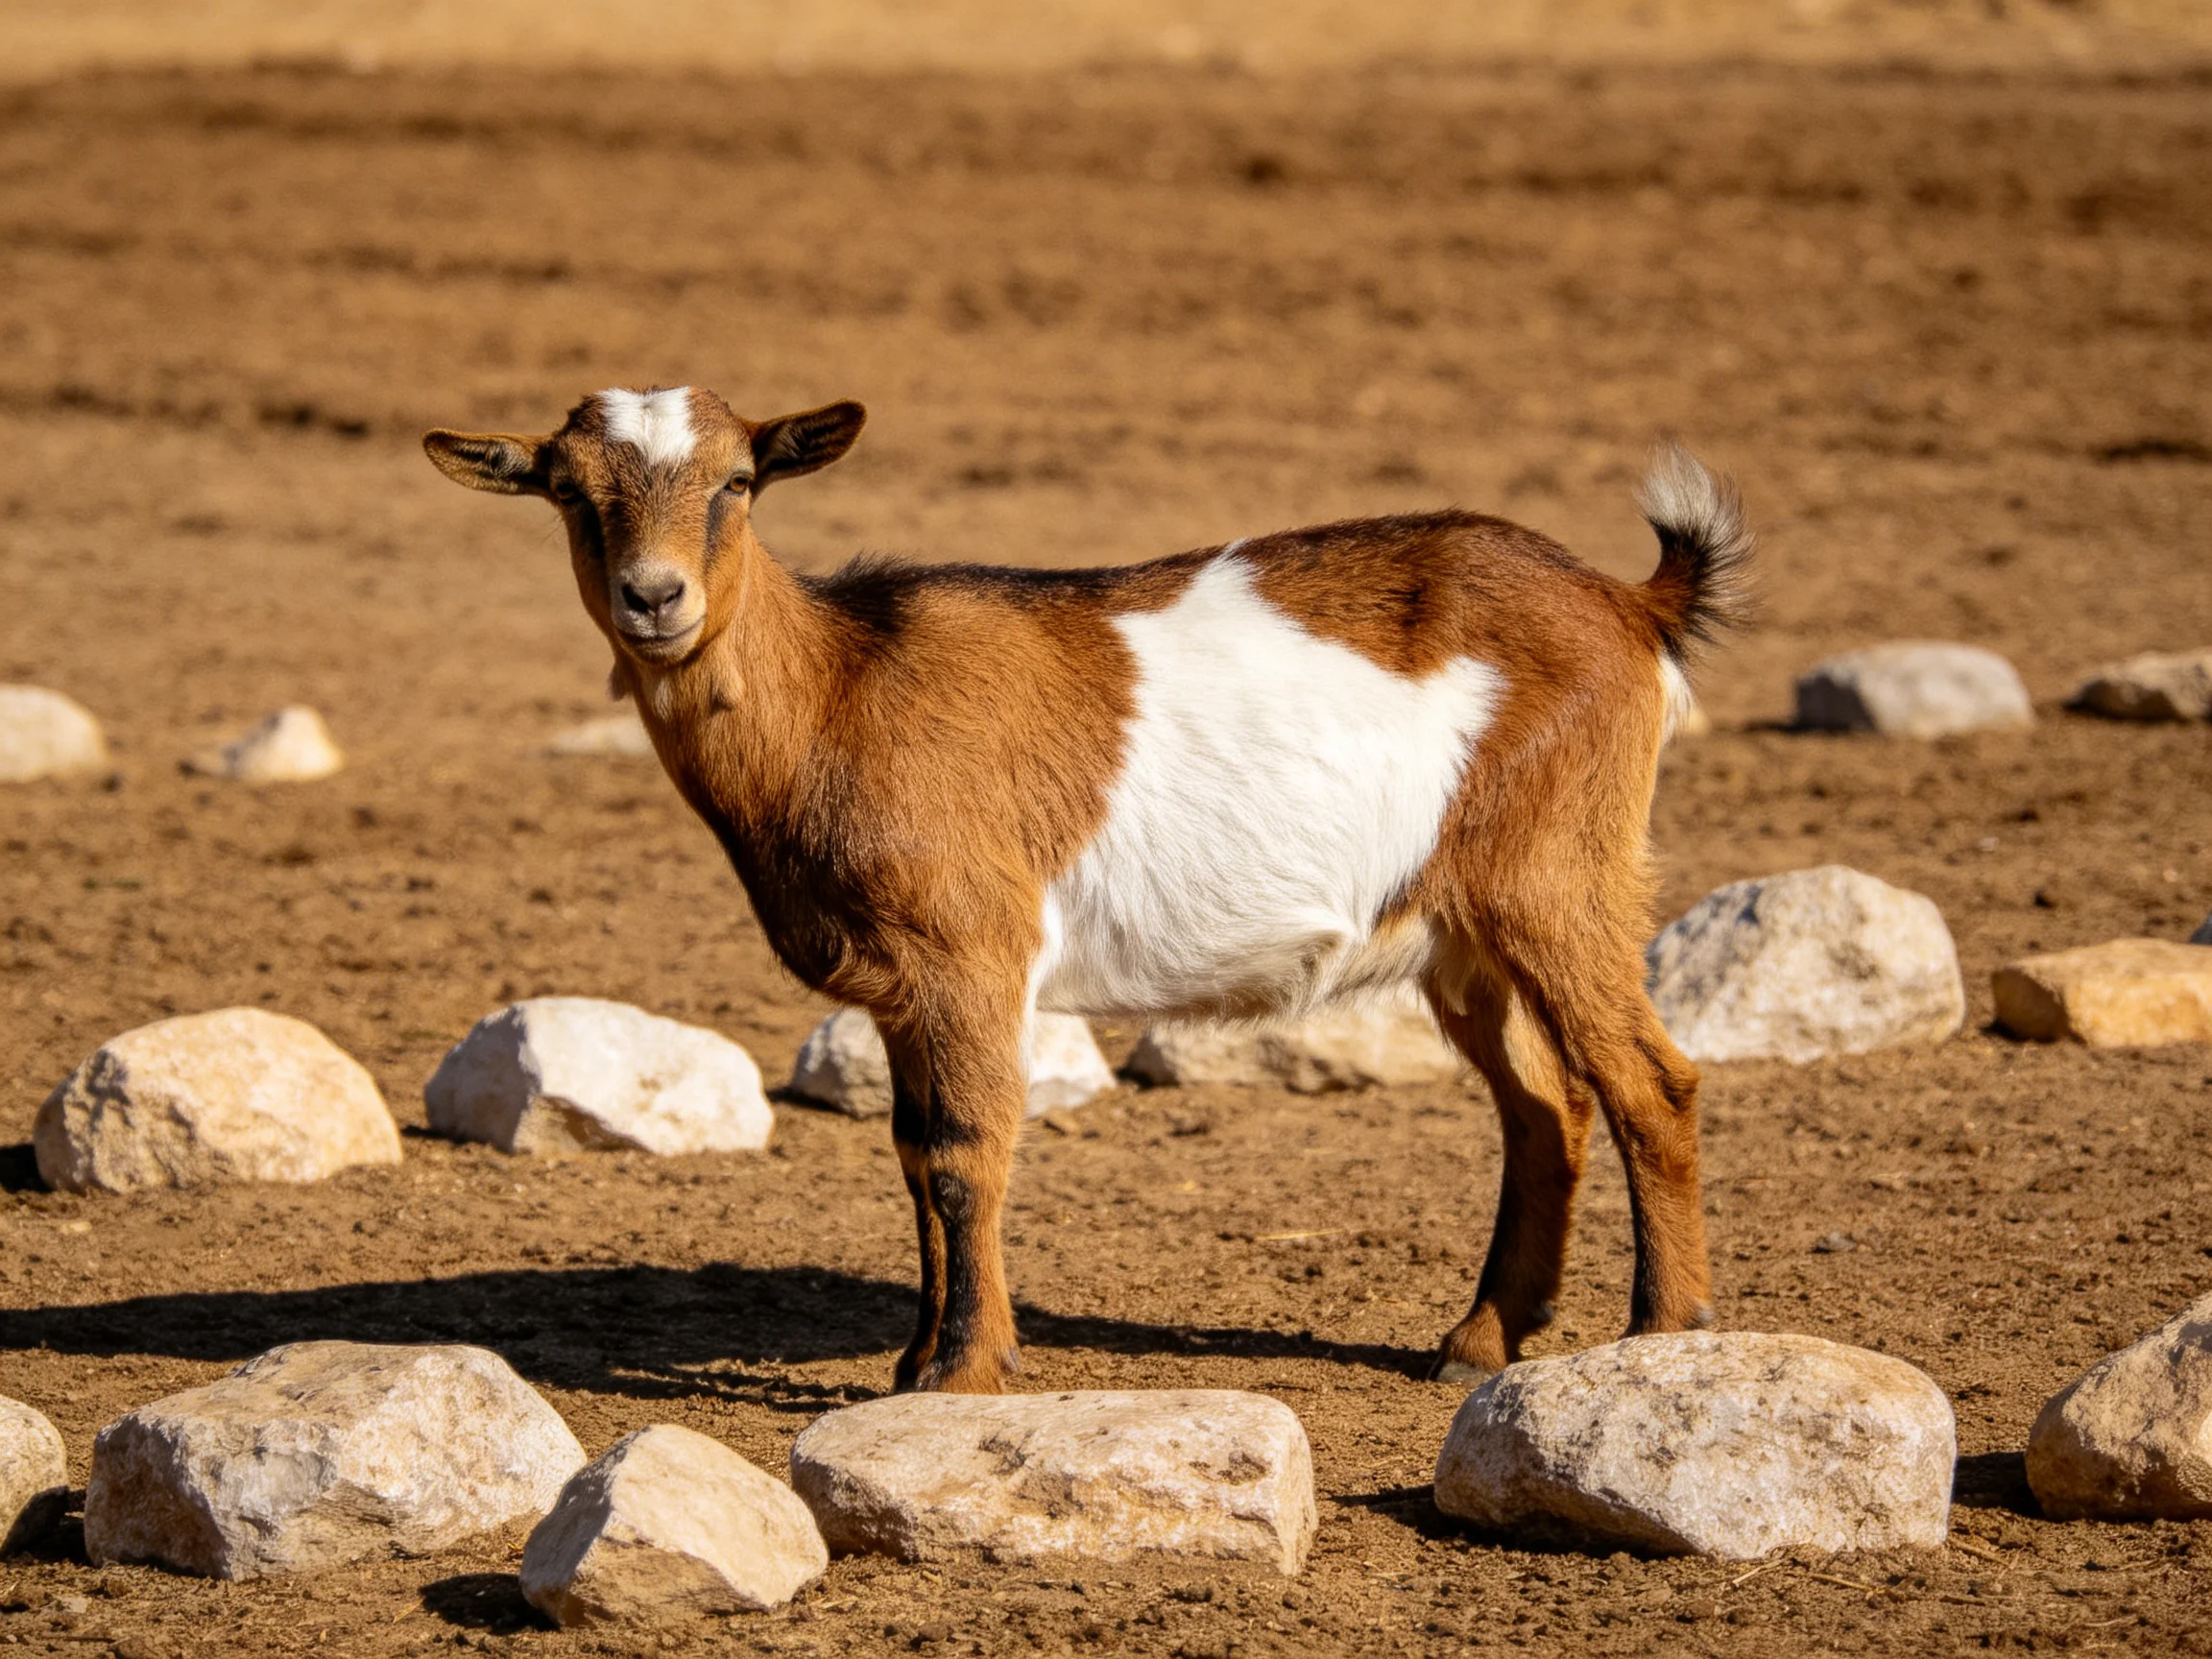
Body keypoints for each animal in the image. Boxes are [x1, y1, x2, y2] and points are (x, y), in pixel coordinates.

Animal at [425, 386, 1752, 1394]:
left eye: (738, 482)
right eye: (568, 491)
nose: (657, 599)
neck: (841, 691)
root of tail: (1630, 604)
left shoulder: (971, 949)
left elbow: (966, 1149)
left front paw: (961, 1372)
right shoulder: (900, 986)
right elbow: (911, 1152)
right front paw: (913, 1361)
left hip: (1561, 876)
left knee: (1650, 1081)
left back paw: (1661, 1336)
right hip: (1461, 930)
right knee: (1543, 1104)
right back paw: (1479, 1343)